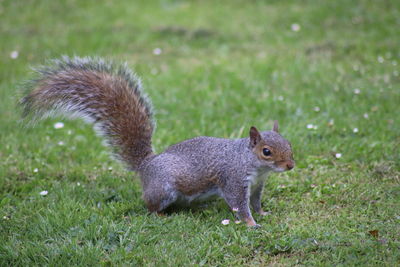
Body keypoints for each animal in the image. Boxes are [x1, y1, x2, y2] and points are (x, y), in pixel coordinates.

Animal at [21, 56, 294, 228]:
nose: (290, 166)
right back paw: (163, 216)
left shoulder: (256, 185)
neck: (252, 163)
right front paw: (251, 223)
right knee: (150, 207)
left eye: (289, 144)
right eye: (266, 151)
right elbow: (239, 205)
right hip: (163, 189)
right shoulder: (234, 180)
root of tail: (145, 165)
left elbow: (255, 202)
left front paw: (262, 212)